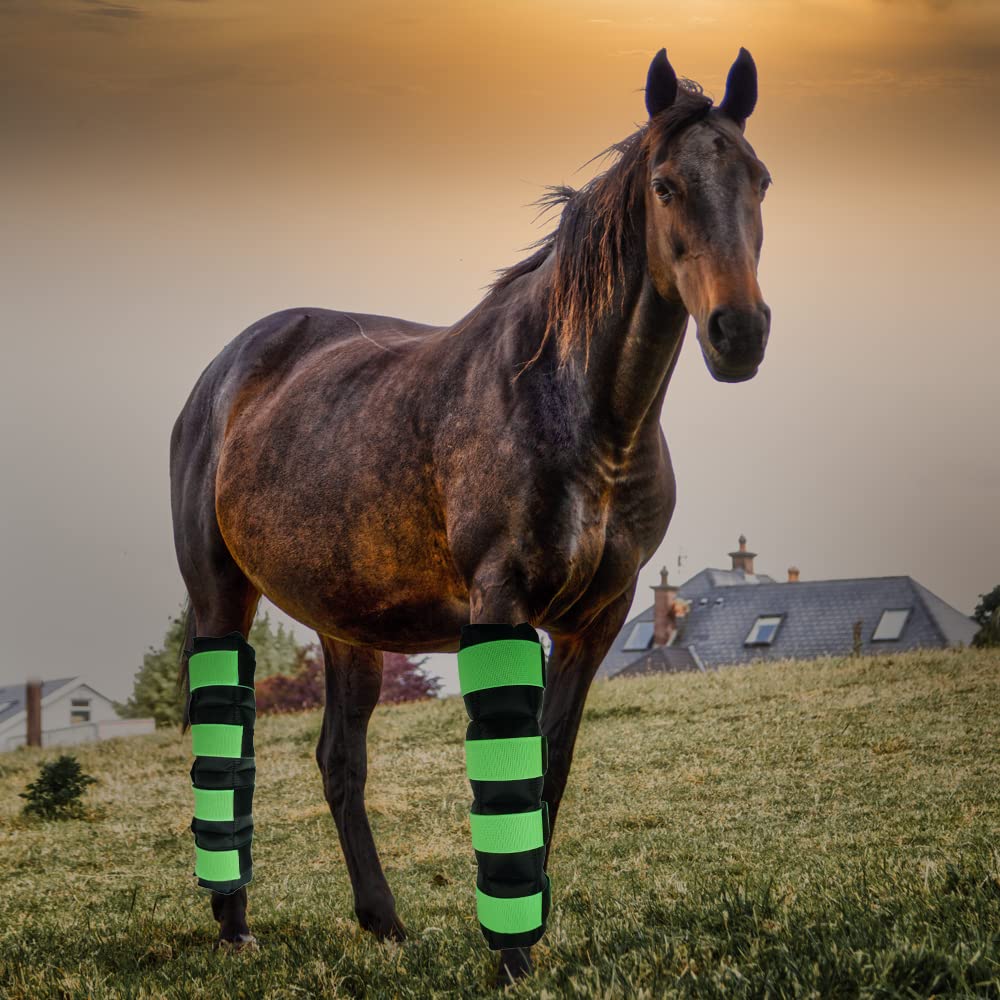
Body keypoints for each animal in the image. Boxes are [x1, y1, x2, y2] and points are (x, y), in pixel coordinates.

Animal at [169, 46, 772, 984]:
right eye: (667, 185)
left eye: (761, 179)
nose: (738, 331)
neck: (582, 410)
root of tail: (224, 374)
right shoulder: (501, 604)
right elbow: (508, 774)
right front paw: (511, 953)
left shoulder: (597, 622)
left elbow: (548, 770)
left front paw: (526, 937)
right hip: (219, 597)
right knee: (225, 743)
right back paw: (234, 923)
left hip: (349, 628)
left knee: (339, 762)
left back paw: (381, 919)